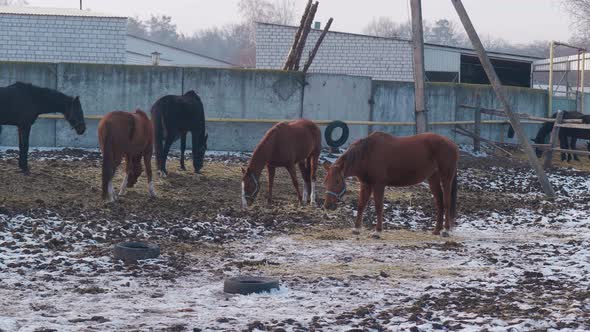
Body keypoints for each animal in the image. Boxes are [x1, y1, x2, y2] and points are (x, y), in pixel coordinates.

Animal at [326, 131, 460, 237]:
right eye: (325, 181)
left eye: (337, 181)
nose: (328, 205)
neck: (367, 153)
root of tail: (452, 143)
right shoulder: (365, 184)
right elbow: (361, 205)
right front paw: (356, 229)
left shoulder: (379, 185)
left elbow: (379, 207)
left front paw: (377, 232)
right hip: (433, 179)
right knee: (439, 202)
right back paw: (436, 230)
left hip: (446, 179)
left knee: (446, 202)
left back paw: (446, 231)